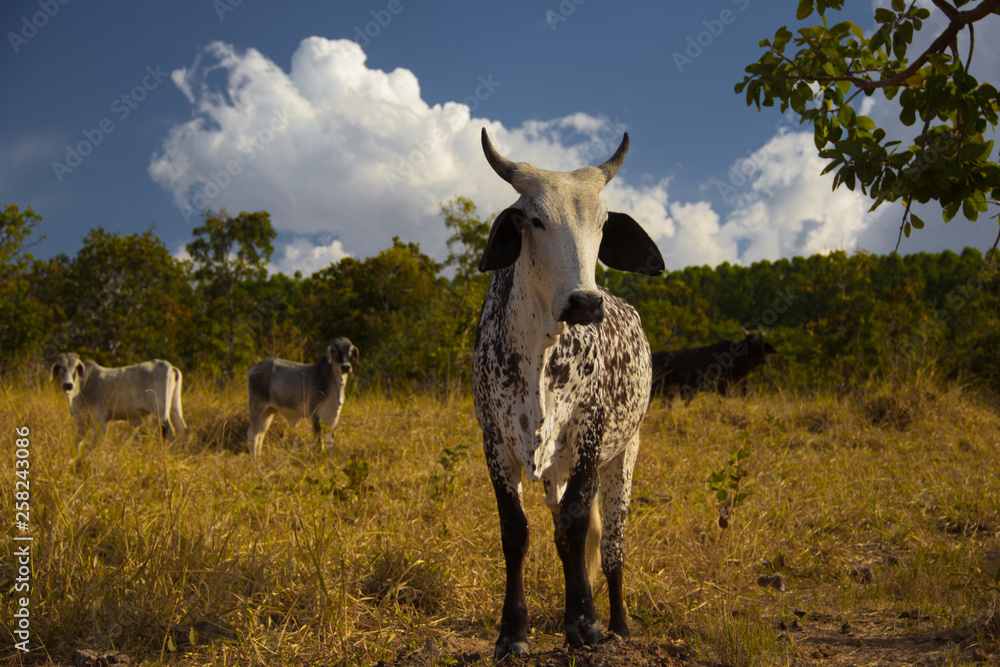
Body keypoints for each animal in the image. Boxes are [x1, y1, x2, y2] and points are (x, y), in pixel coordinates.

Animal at [50, 353, 188, 452]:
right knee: (182, 429)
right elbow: (78, 443)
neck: (82, 386)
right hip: (175, 407)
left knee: (170, 431)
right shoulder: (80, 420)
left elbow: (96, 441)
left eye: (75, 367)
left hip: (161, 410)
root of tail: (170, 367)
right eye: (60, 367)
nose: (68, 385)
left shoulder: (99, 416)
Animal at [472, 128, 664, 660]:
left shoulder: (589, 435)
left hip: (625, 452)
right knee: (561, 535)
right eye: (535, 220)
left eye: (601, 222)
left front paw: (586, 623)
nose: (585, 303)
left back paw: (618, 623)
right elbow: (515, 531)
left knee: (611, 546)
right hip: (555, 469)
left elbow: (579, 526)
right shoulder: (494, 439)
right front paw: (513, 631)